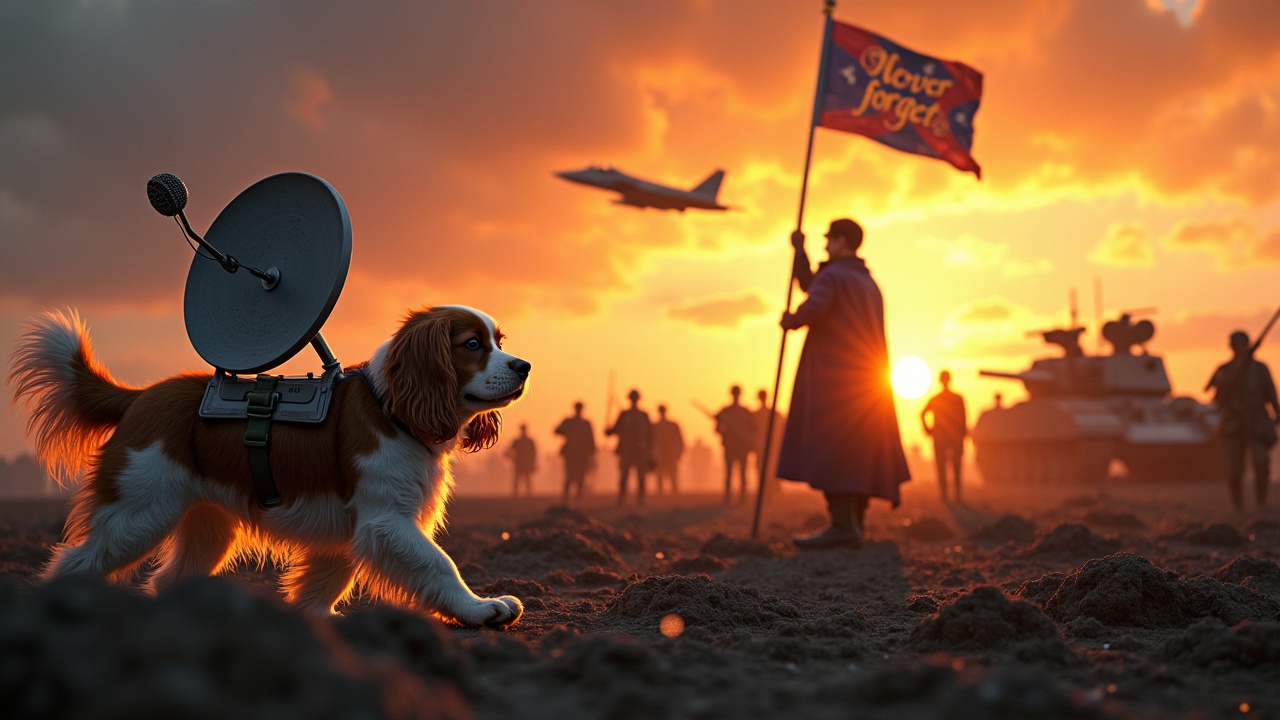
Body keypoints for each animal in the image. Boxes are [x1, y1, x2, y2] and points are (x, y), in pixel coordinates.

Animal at [10, 304, 529, 625]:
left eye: (499, 340)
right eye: (472, 344)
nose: (523, 366)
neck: (391, 407)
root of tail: (142, 396)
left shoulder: (344, 531)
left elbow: (323, 584)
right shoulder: (386, 521)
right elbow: (439, 564)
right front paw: (480, 608)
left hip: (207, 527)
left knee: (167, 579)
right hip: (137, 516)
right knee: (76, 562)